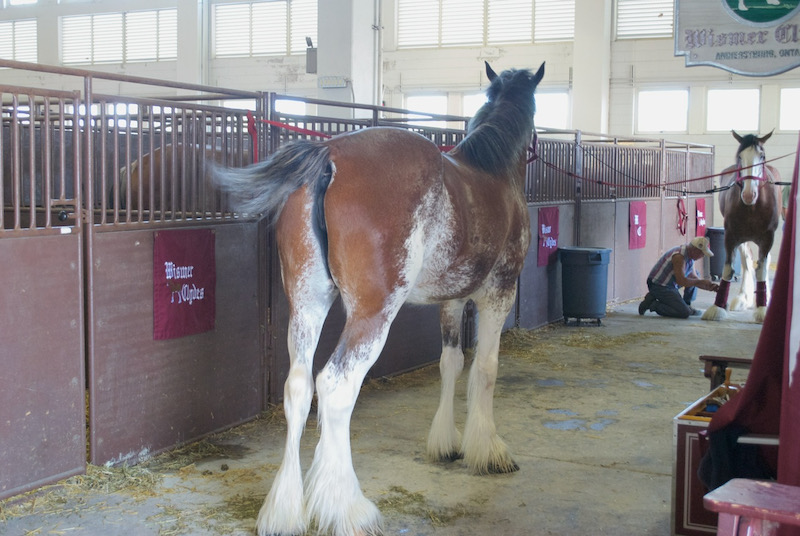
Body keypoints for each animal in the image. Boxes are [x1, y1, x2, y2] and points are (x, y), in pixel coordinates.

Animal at [216, 60, 548, 536]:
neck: (493, 172)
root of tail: (328, 158)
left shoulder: (452, 301)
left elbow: (451, 363)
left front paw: (446, 443)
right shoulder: (498, 293)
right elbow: (485, 368)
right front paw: (488, 450)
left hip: (307, 305)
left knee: (298, 388)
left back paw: (286, 510)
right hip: (373, 314)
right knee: (335, 386)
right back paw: (348, 509)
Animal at [704, 130, 780, 322]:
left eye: (762, 156)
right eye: (740, 156)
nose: (748, 194)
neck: (753, 206)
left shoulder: (768, 238)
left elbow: (761, 269)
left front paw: (762, 308)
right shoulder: (731, 236)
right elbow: (728, 269)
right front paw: (717, 307)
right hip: (743, 238)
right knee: (746, 260)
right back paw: (743, 297)